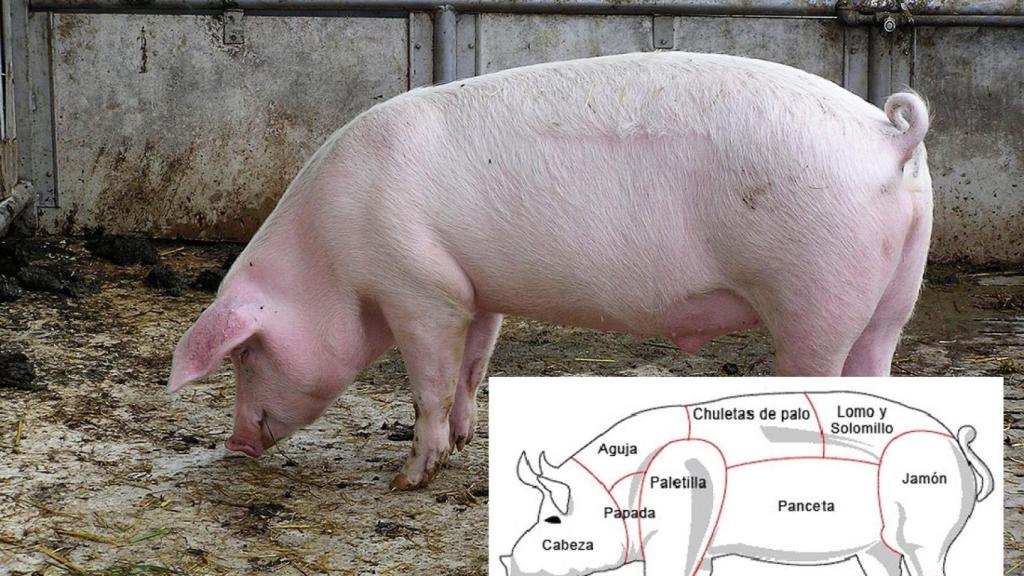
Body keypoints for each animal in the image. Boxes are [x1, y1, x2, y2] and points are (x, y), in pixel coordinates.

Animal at [168, 51, 934, 489]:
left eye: (247, 356)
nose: (235, 444)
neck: (329, 255)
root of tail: (890, 138)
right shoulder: (476, 290)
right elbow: (472, 368)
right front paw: (463, 446)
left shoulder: (420, 288)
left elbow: (429, 384)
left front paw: (408, 479)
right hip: (894, 296)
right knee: (877, 373)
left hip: (815, 294)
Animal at [500, 391, 993, 576]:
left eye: (552, 519)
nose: (506, 560)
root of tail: (956, 439)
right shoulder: (703, 546)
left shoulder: (679, 514)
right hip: (875, 546)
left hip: (926, 525)